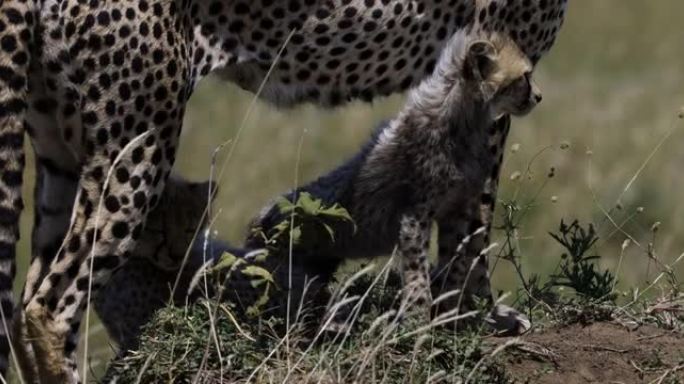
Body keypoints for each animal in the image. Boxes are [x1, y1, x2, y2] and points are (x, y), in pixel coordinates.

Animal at [0, 0, 568, 380]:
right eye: (525, 82)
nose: (539, 95)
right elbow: (473, 219)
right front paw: (479, 316)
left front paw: (460, 318)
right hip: (140, 136)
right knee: (53, 305)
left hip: (63, 151)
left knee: (27, 299)